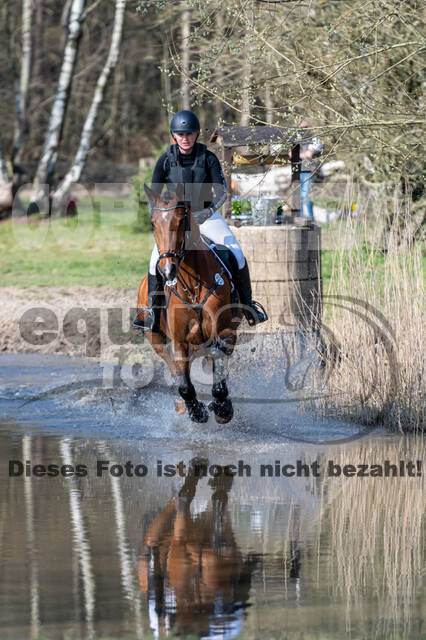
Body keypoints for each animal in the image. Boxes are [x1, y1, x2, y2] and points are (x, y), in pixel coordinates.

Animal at [136, 184, 243, 424]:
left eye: (180, 221)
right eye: (153, 223)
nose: (167, 270)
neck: (193, 287)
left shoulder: (225, 331)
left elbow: (219, 359)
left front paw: (222, 407)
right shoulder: (179, 342)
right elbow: (185, 385)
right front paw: (197, 411)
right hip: (155, 338)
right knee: (175, 371)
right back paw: (183, 406)